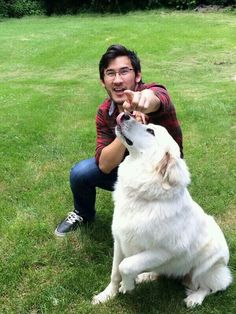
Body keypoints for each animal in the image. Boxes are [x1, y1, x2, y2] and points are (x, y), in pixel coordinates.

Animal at [92, 112, 232, 306]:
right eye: (146, 124)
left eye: (151, 131)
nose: (125, 114)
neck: (143, 197)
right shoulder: (119, 241)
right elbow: (115, 272)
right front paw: (107, 295)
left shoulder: (165, 251)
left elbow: (125, 265)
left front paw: (127, 286)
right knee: (162, 273)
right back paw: (146, 276)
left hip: (207, 268)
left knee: (211, 287)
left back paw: (195, 298)